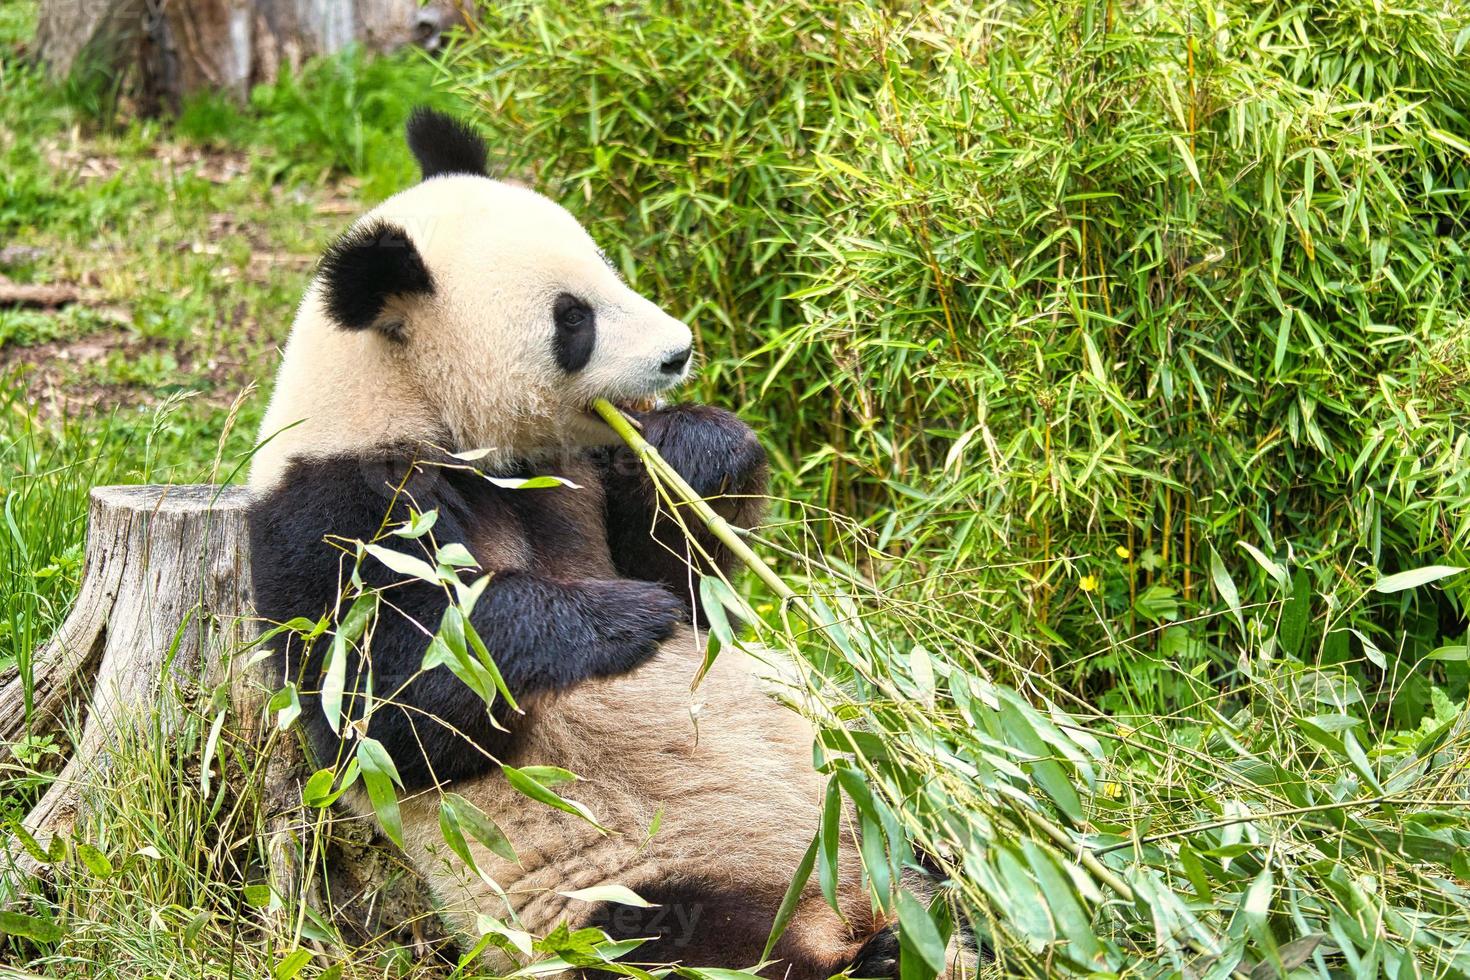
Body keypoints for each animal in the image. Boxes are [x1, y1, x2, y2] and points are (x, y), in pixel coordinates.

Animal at [246, 110, 946, 975]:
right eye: (572, 317)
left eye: (608, 271)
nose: (679, 351)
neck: (413, 403)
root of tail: (837, 910)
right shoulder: (339, 512)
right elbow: (389, 709)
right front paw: (620, 621)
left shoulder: (575, 474)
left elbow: (694, 588)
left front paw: (695, 451)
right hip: (623, 891)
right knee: (694, 943)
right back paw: (877, 953)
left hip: (869, 804)